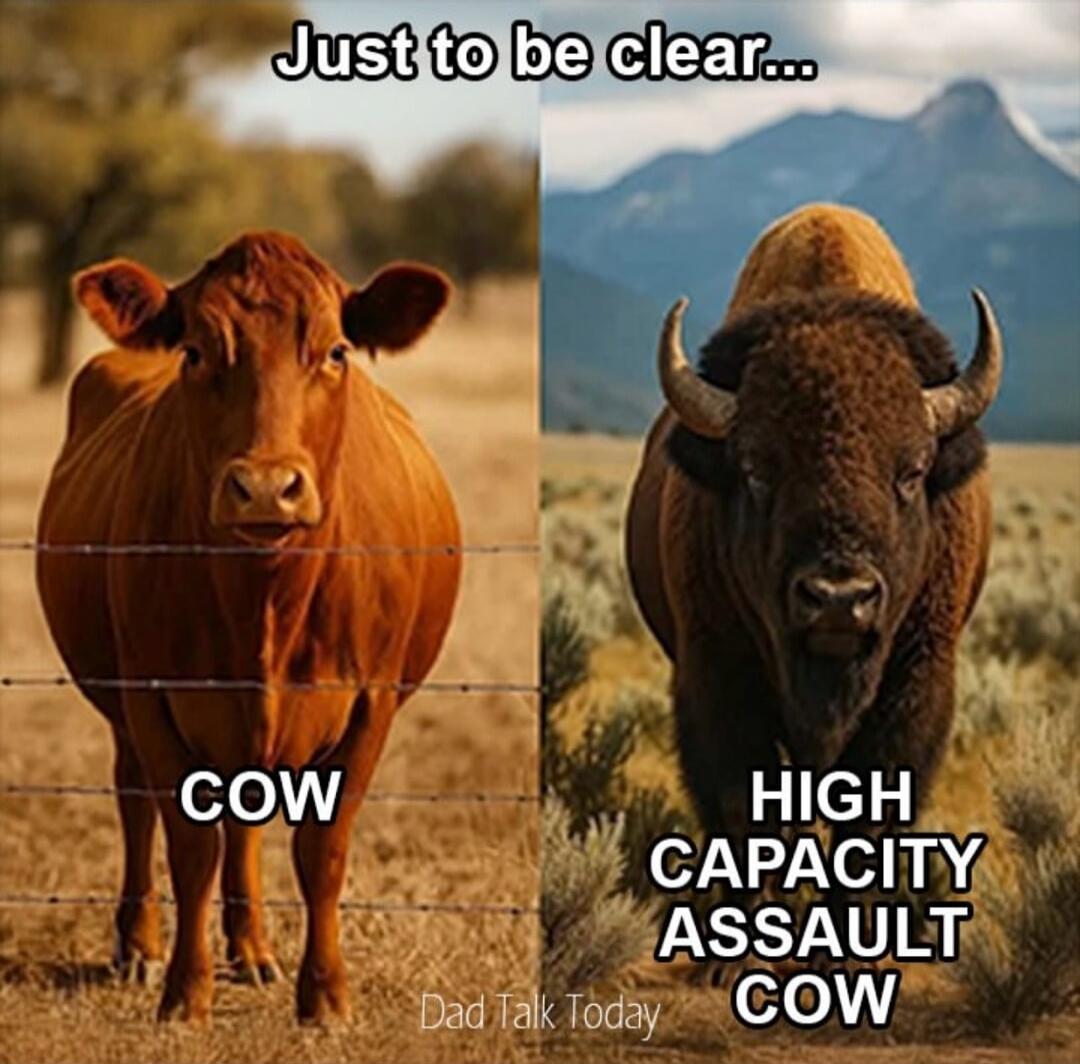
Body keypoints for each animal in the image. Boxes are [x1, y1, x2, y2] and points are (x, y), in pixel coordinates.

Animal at [35, 231, 461, 1023]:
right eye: (196, 352)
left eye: (335, 351)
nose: (266, 487)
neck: (263, 604)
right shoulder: (153, 697)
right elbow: (189, 845)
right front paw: (184, 994)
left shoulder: (371, 702)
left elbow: (321, 850)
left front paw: (324, 995)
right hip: (125, 706)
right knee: (135, 800)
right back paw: (138, 945)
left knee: (247, 815)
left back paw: (255, 949)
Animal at [626, 203, 1000, 950]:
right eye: (756, 470)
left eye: (911, 471)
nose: (838, 601)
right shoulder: (716, 675)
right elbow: (745, 811)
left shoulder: (917, 683)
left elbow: (870, 823)